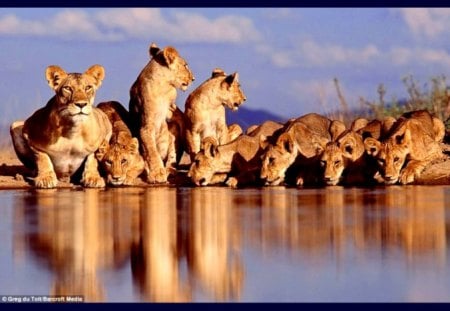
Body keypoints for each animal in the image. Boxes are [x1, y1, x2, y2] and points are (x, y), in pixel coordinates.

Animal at [128, 42, 195, 184]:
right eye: (185, 65)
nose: (193, 78)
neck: (164, 86)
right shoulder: (146, 126)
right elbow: (151, 150)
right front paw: (157, 173)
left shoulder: (172, 109)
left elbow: (182, 120)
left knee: (172, 157)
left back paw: (171, 169)